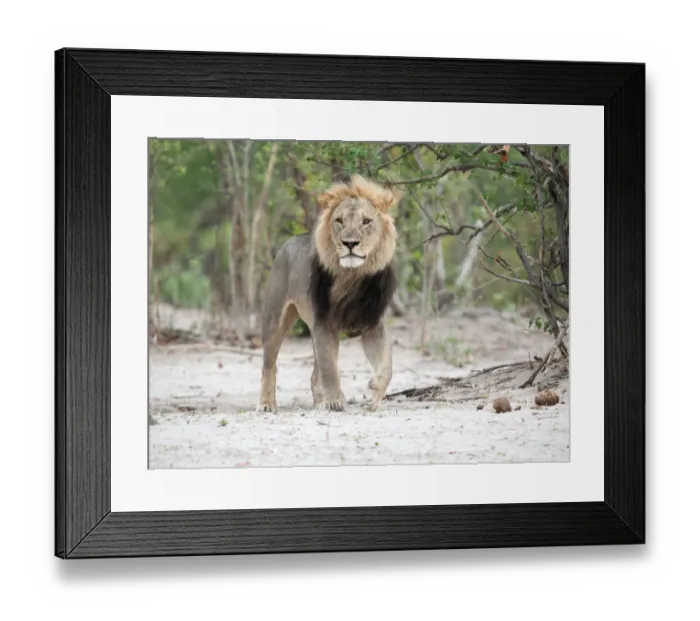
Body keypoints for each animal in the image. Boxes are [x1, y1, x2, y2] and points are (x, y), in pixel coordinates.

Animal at [256, 174, 401, 413]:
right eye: (339, 221)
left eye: (366, 221)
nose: (350, 243)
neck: (352, 276)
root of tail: (290, 240)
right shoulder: (323, 323)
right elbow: (329, 368)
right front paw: (334, 401)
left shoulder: (373, 325)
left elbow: (388, 365)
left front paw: (374, 392)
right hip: (274, 320)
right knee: (269, 365)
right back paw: (267, 404)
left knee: (314, 375)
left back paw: (319, 403)